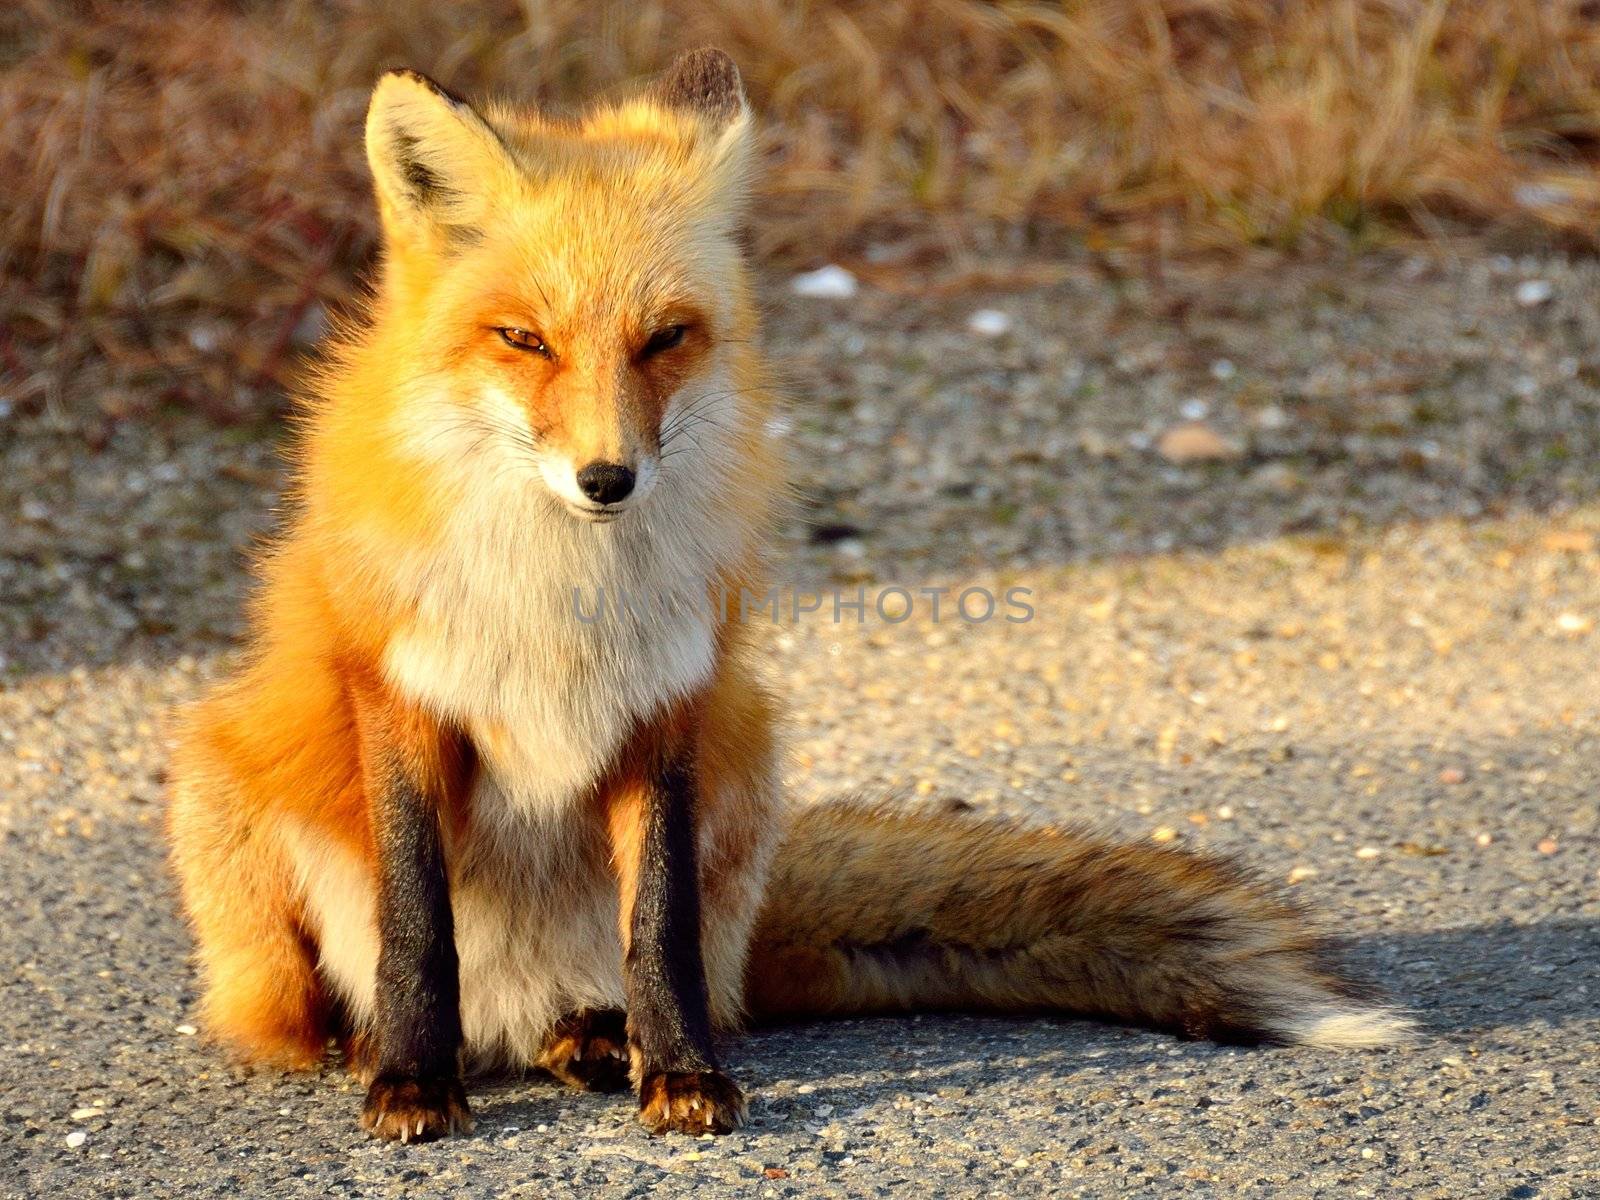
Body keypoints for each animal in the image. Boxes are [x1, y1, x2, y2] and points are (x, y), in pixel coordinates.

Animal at [165, 49, 1414, 1145]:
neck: (562, 594)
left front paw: (680, 1075)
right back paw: (375, 1047)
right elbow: (417, 927)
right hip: (220, 781)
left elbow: (658, 928)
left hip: (750, 762)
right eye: (521, 339)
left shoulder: (671, 706)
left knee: (660, 982)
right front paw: (413, 1083)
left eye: (665, 338)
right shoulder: (402, 698)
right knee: (317, 1005)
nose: (606, 479)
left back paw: (594, 1039)